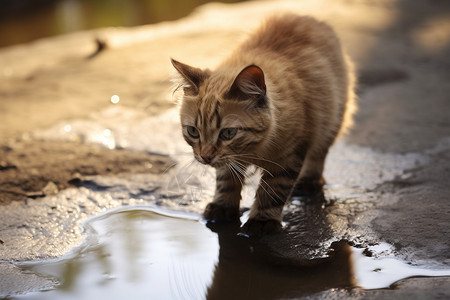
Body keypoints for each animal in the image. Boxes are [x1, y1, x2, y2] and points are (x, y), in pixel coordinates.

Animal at [171, 13, 356, 234]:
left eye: (228, 133)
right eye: (193, 131)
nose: (205, 157)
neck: (253, 150)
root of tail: (306, 17)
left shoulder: (287, 159)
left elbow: (272, 193)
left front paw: (261, 221)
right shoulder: (229, 161)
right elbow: (226, 182)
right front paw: (222, 208)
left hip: (331, 121)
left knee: (318, 155)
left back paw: (308, 182)